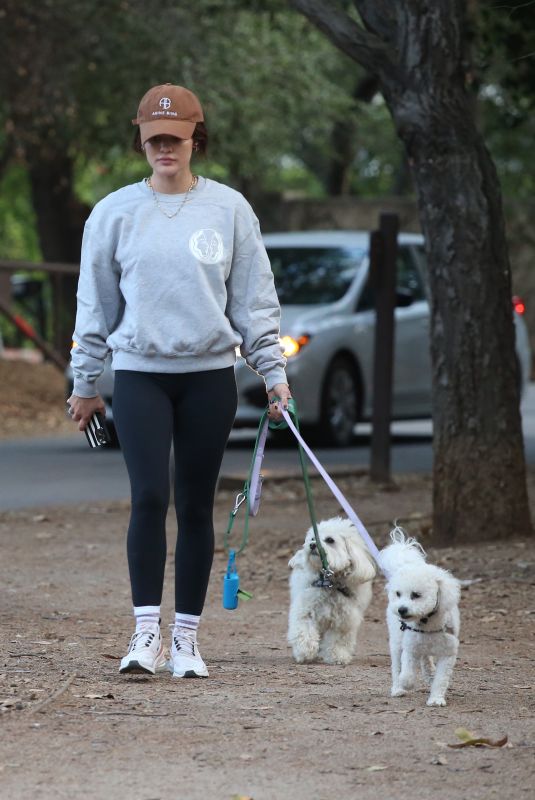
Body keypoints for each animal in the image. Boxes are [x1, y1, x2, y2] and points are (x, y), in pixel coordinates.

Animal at [288, 516, 376, 664]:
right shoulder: (305, 609)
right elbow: (304, 629)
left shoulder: (344, 620)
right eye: (312, 538)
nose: (312, 545)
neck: (329, 582)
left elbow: (337, 640)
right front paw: (305, 651)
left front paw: (337, 656)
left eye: (330, 540)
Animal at [382, 532, 460, 708]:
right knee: (396, 666)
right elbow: (407, 671)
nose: (401, 609)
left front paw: (436, 698)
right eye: (398, 593)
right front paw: (406, 683)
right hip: (397, 641)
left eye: (416, 595)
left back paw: (430, 673)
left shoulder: (448, 653)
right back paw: (397, 688)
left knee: (425, 659)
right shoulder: (409, 647)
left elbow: (441, 680)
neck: (427, 623)